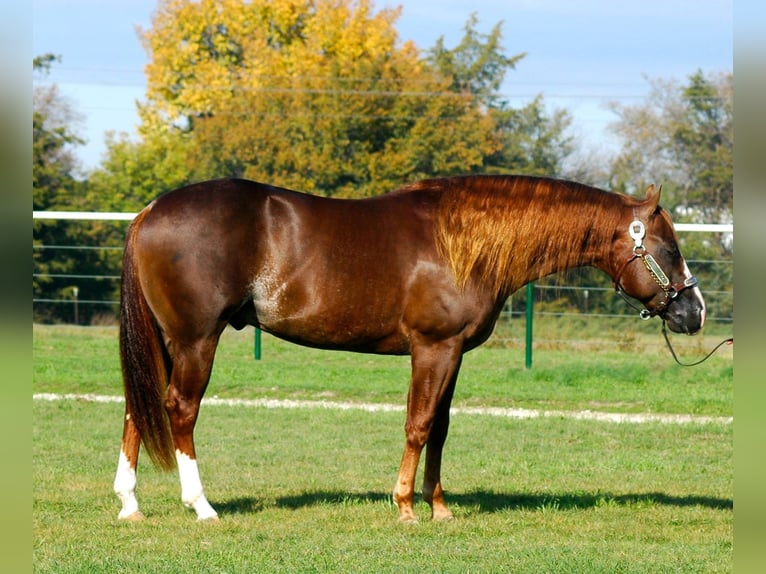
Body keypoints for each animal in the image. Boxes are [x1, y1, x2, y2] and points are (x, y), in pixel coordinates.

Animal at [113, 175, 705, 524]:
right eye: (667, 248)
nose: (694, 312)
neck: (461, 240)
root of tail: (149, 212)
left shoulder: (454, 353)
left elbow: (440, 428)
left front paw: (439, 506)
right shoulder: (433, 349)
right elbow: (418, 424)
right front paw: (404, 506)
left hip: (165, 341)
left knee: (138, 409)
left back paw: (129, 503)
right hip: (196, 339)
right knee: (179, 410)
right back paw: (201, 505)